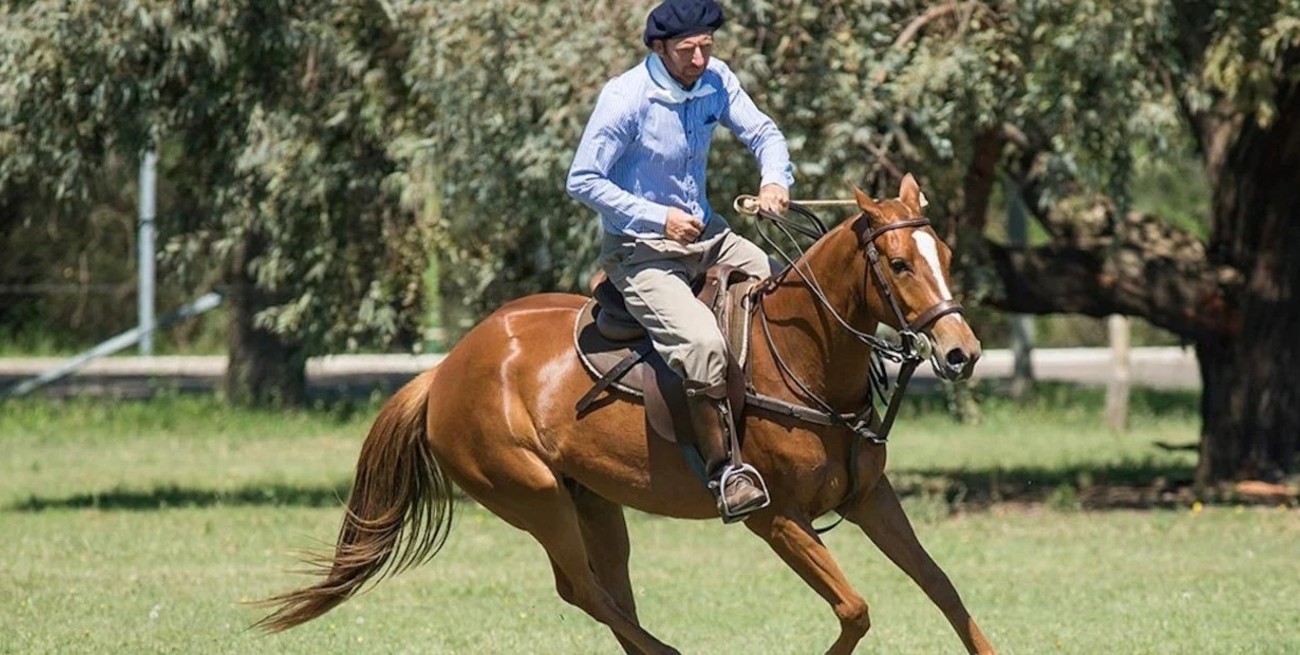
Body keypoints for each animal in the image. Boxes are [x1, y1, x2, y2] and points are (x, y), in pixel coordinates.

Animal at [254, 174, 996, 655]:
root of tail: (443, 371)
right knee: (582, 589)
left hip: (594, 501)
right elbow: (855, 608)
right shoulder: (776, 519)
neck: (804, 357)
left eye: (945, 255)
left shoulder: (871, 498)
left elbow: (944, 588)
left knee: (608, 593)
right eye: (898, 264)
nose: (962, 352)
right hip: (533, 495)